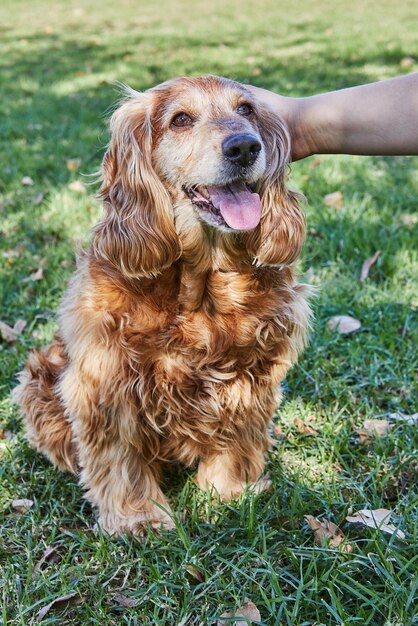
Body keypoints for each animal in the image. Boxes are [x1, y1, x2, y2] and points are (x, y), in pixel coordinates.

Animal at [13, 75, 310, 532]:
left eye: (246, 110)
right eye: (181, 120)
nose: (244, 146)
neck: (199, 285)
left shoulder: (250, 372)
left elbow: (236, 437)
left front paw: (228, 494)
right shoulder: (107, 382)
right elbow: (121, 458)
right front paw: (139, 518)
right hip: (37, 380)